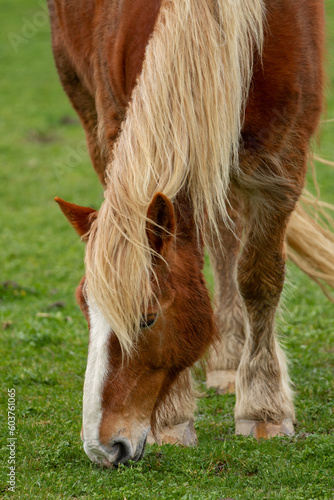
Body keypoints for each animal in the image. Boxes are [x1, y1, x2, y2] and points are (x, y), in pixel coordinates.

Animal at [47, 0, 326, 466]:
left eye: (148, 318)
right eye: (85, 308)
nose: (102, 448)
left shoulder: (282, 163)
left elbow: (261, 281)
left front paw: (264, 410)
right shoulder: (116, 123)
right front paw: (174, 419)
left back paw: (230, 364)